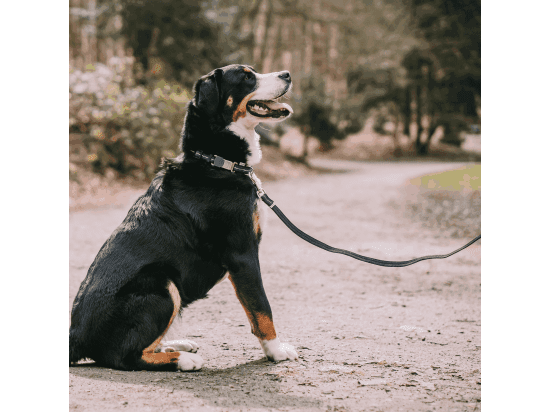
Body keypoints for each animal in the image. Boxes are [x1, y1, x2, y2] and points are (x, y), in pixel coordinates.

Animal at [71, 64, 302, 370]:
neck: (216, 162)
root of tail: (75, 334)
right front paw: (276, 351)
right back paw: (182, 360)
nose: (287, 74)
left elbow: (255, 311)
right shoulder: (243, 255)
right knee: (126, 356)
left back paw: (176, 345)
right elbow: (262, 309)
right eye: (247, 76)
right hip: (162, 284)